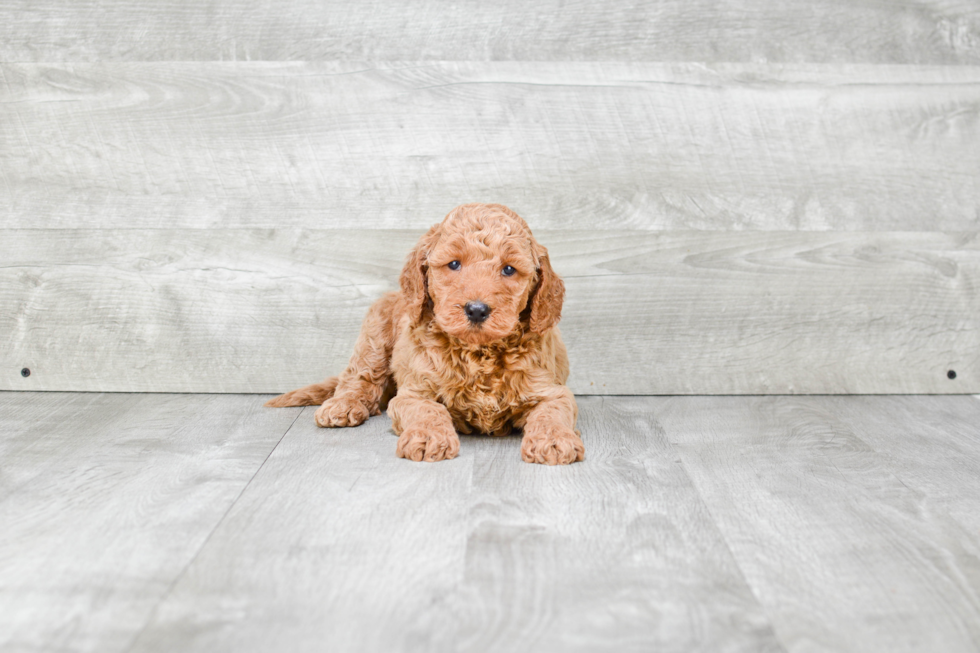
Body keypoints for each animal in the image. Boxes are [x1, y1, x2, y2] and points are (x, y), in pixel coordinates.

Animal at [266, 204, 580, 464]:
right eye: (454, 264)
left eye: (509, 269)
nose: (476, 310)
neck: (478, 353)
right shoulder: (413, 393)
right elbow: (429, 410)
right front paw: (429, 438)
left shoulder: (551, 391)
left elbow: (552, 413)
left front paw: (554, 440)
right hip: (374, 335)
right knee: (359, 376)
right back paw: (343, 405)